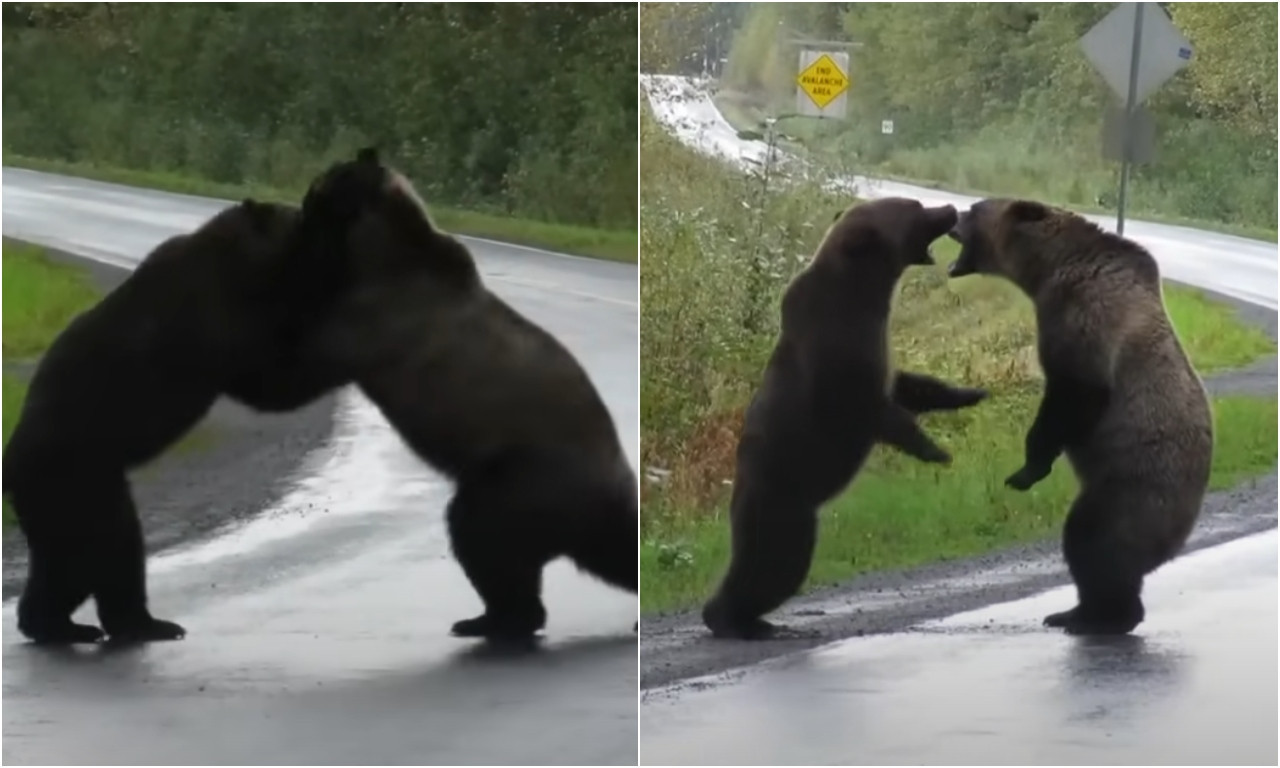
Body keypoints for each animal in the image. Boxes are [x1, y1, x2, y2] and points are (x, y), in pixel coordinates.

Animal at [2, 200, 350, 645]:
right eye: (301, 217)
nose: (316, 217)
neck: (239, 265)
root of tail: (11, 466)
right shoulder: (214, 316)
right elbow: (269, 378)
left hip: (87, 486)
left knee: (98, 554)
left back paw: (84, 624)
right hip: (75, 479)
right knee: (90, 553)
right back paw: (114, 625)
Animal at [286, 149, 634, 642]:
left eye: (321, 187)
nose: (300, 204)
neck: (381, 253)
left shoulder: (378, 316)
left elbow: (309, 354)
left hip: (521, 479)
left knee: (480, 534)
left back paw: (497, 620)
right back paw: (488, 619)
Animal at [701, 199, 988, 642]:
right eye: (916, 208)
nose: (950, 208)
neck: (864, 292)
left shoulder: (878, 351)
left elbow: (910, 387)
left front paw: (970, 392)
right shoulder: (839, 361)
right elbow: (880, 412)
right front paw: (936, 451)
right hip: (783, 506)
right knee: (770, 568)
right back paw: (737, 620)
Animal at [947, 198, 1213, 634]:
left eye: (974, 208)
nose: (952, 212)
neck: (1048, 268)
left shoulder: (1084, 313)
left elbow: (1074, 393)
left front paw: (1025, 470)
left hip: (1133, 488)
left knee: (1092, 540)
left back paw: (1095, 616)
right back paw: (1075, 612)